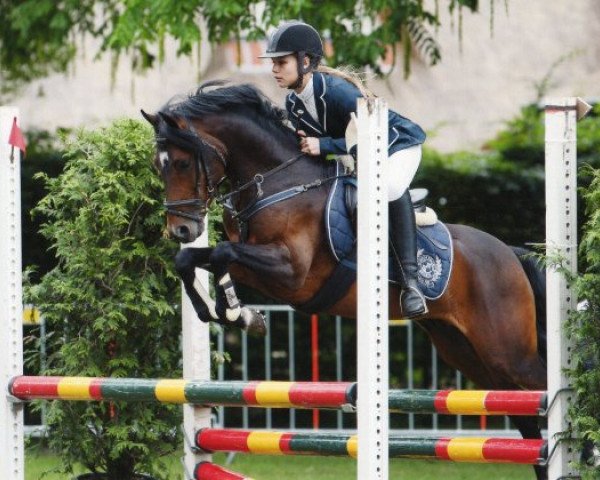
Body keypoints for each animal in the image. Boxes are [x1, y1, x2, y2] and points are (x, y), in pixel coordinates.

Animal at [141, 80, 548, 478]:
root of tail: (509, 253)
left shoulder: (291, 272)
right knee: (527, 421)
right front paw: (231, 312)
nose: (181, 229)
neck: (276, 182)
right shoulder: (257, 263)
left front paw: (235, 312)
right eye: (157, 166)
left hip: (507, 351)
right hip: (467, 352)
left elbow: (222, 254)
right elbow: (195, 259)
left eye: (181, 163)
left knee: (544, 390)